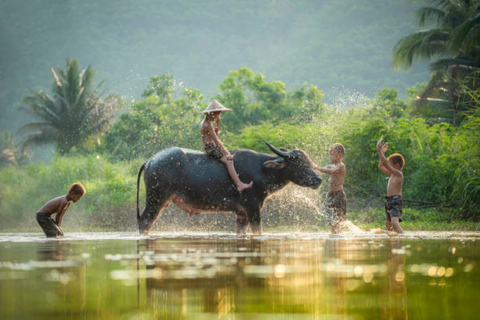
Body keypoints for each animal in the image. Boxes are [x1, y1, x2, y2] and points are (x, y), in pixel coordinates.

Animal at [136, 142, 322, 235]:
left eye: (308, 162)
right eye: (299, 164)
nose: (318, 180)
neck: (262, 170)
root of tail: (151, 160)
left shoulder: (241, 213)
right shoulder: (253, 208)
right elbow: (257, 230)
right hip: (156, 200)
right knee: (145, 221)